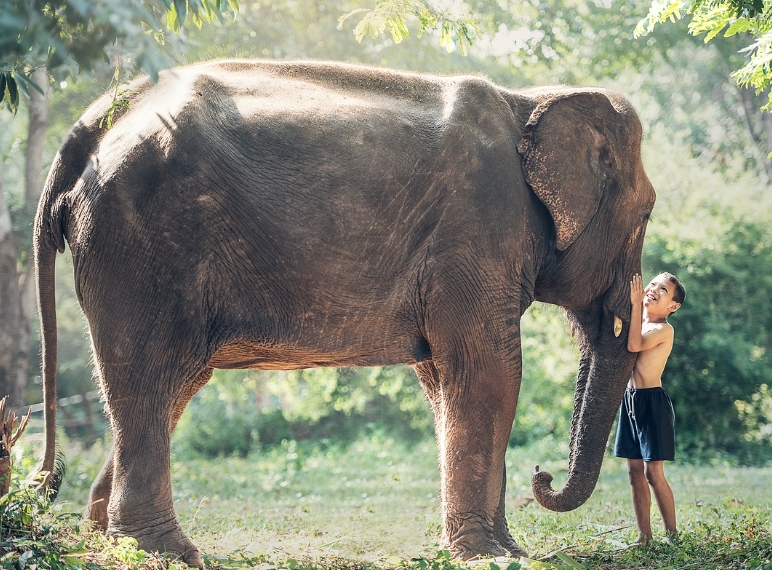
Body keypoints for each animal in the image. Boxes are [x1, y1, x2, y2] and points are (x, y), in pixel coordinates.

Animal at [33, 58, 656, 564]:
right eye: (648, 213)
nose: (542, 475)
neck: (529, 100)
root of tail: (94, 122)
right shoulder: (478, 228)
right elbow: (490, 372)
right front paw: (495, 556)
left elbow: (443, 380)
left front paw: (501, 549)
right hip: (141, 244)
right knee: (149, 374)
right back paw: (164, 552)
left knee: (172, 385)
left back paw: (104, 537)